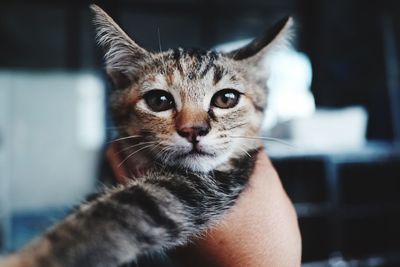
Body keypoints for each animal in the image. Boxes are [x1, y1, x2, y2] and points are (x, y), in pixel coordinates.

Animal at [0, 4, 294, 267]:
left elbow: (128, 208)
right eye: (159, 100)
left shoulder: (209, 185)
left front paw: (33, 257)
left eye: (226, 98)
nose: (193, 130)